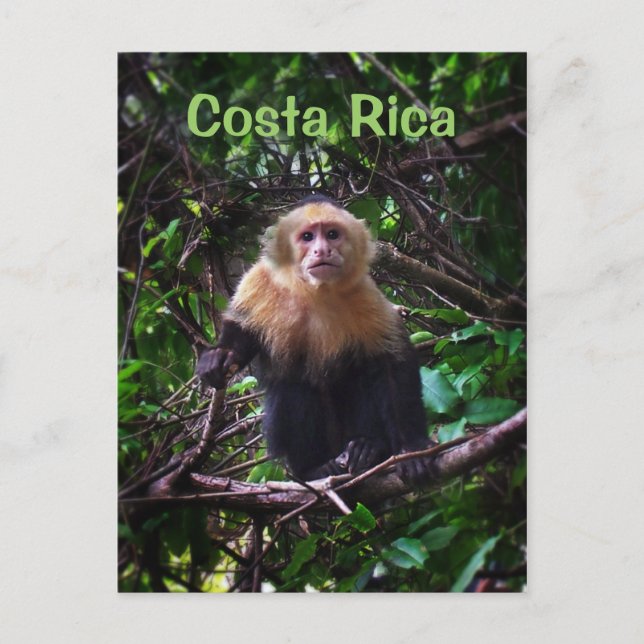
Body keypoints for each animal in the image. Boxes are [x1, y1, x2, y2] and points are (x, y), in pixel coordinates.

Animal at [196, 195, 433, 482]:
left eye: (332, 235)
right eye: (308, 237)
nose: (321, 251)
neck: (314, 291)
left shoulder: (364, 292)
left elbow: (391, 363)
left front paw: (413, 449)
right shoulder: (260, 281)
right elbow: (241, 332)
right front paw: (219, 356)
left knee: (363, 375)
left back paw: (368, 449)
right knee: (294, 387)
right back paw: (313, 468)